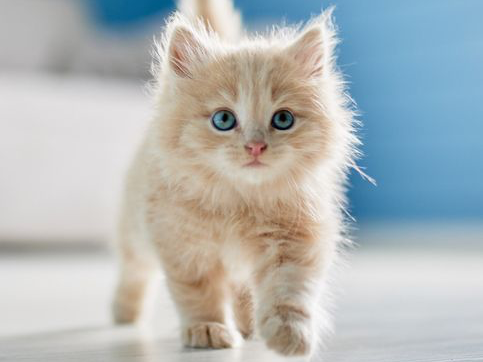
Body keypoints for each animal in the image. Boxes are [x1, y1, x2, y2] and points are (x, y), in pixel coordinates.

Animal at [113, 0, 362, 356]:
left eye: (283, 119)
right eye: (223, 120)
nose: (255, 146)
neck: (239, 201)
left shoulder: (296, 240)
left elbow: (289, 289)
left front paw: (289, 333)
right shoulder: (184, 246)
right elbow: (198, 294)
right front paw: (207, 329)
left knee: (241, 291)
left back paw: (249, 327)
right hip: (135, 232)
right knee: (133, 270)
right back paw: (124, 312)